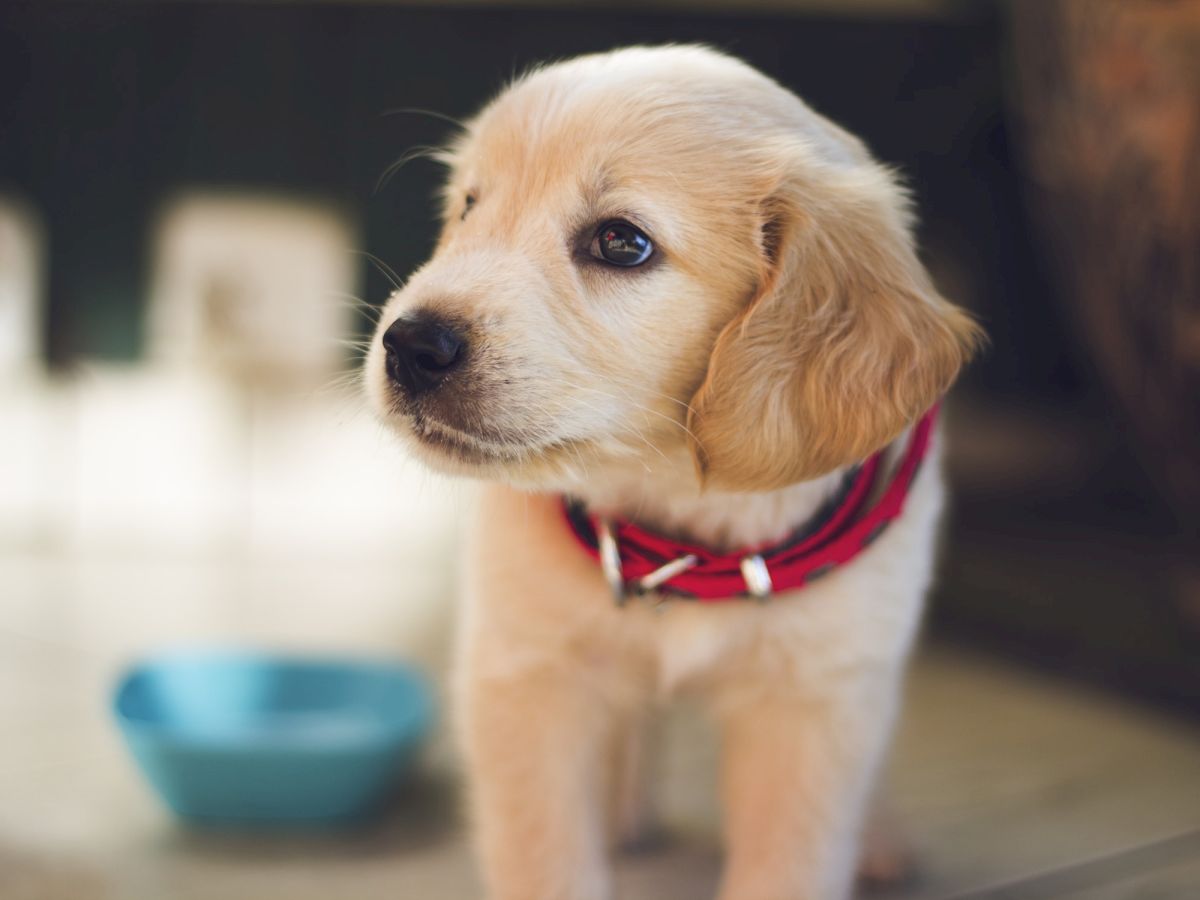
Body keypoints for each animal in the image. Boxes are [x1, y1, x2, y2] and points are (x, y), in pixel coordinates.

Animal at [367, 44, 984, 900]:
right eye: (469, 206)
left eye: (622, 243)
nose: (409, 346)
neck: (679, 523)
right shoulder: (527, 675)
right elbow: (544, 855)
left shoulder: (815, 702)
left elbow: (790, 862)